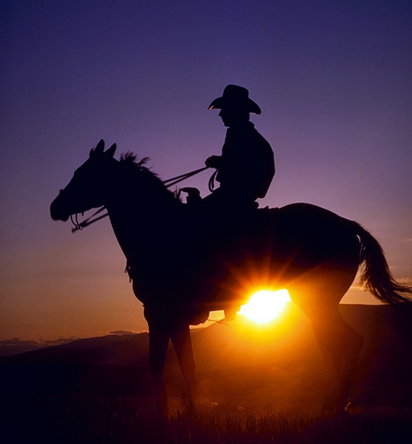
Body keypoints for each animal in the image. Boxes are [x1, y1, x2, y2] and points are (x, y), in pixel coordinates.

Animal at [50, 140, 408, 414]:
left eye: (83, 173)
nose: (55, 207)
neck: (160, 232)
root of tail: (348, 225)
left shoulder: (159, 314)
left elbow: (158, 362)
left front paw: (166, 414)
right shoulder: (174, 318)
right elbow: (186, 364)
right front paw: (191, 413)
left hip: (318, 301)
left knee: (348, 342)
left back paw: (334, 408)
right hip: (315, 302)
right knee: (331, 345)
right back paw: (329, 406)